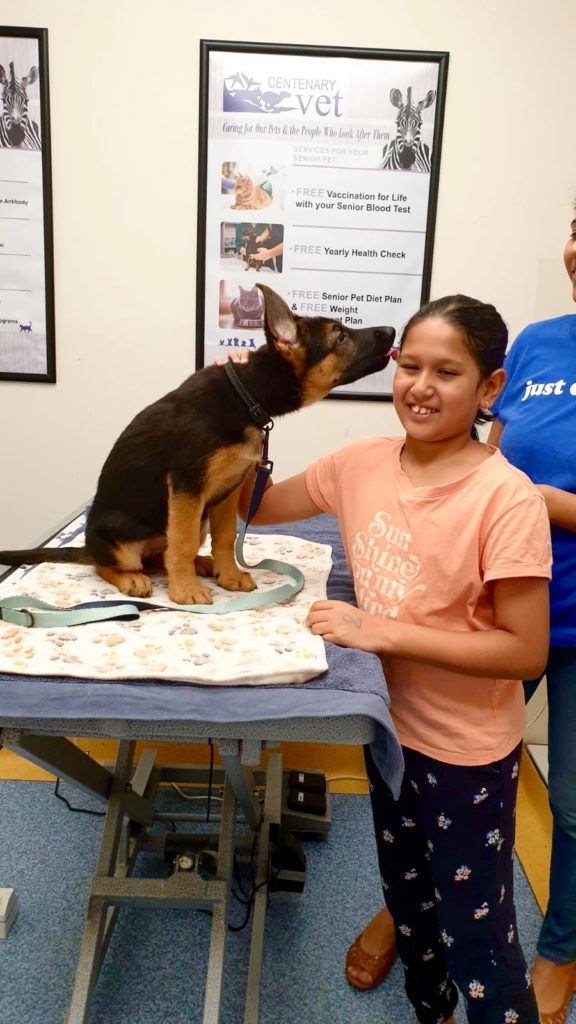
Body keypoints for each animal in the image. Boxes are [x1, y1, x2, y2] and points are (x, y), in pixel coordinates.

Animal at [0, 284, 393, 602]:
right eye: (339, 337)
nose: (391, 329)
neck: (247, 395)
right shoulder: (187, 485)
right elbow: (183, 541)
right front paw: (185, 591)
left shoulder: (226, 490)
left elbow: (225, 537)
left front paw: (228, 575)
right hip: (119, 534)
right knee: (109, 563)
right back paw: (133, 579)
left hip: (197, 515)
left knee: (159, 556)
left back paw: (202, 565)